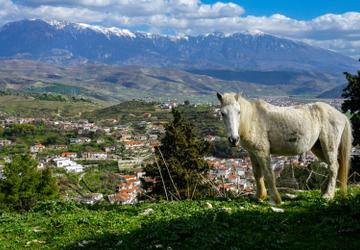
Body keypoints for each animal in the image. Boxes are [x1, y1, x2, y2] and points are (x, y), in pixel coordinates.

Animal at [217, 93, 352, 204]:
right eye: (222, 113)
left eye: (238, 112)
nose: (233, 140)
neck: (252, 120)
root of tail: (341, 115)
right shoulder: (252, 152)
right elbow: (257, 174)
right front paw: (259, 197)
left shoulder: (262, 152)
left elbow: (268, 174)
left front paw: (275, 199)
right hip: (318, 148)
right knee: (336, 165)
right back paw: (324, 190)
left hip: (328, 145)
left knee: (333, 167)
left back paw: (328, 195)